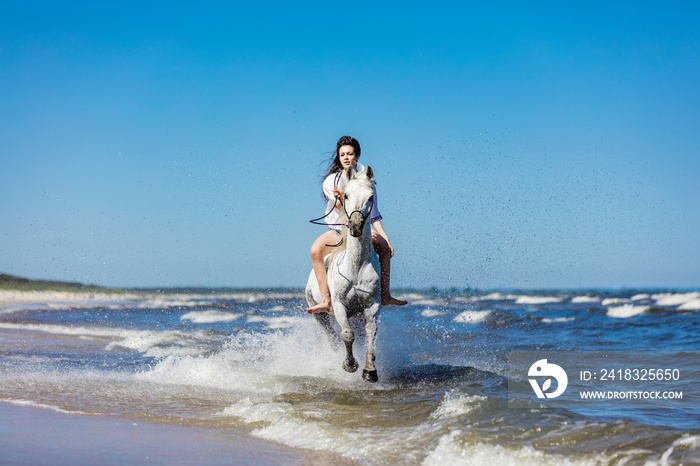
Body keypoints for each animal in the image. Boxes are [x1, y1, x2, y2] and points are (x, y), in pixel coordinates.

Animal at [306, 166, 382, 380]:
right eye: (345, 195)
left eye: (371, 197)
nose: (355, 226)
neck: (356, 267)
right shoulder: (339, 305)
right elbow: (347, 334)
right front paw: (349, 365)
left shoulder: (372, 305)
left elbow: (370, 331)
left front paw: (369, 370)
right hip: (319, 313)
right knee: (332, 337)